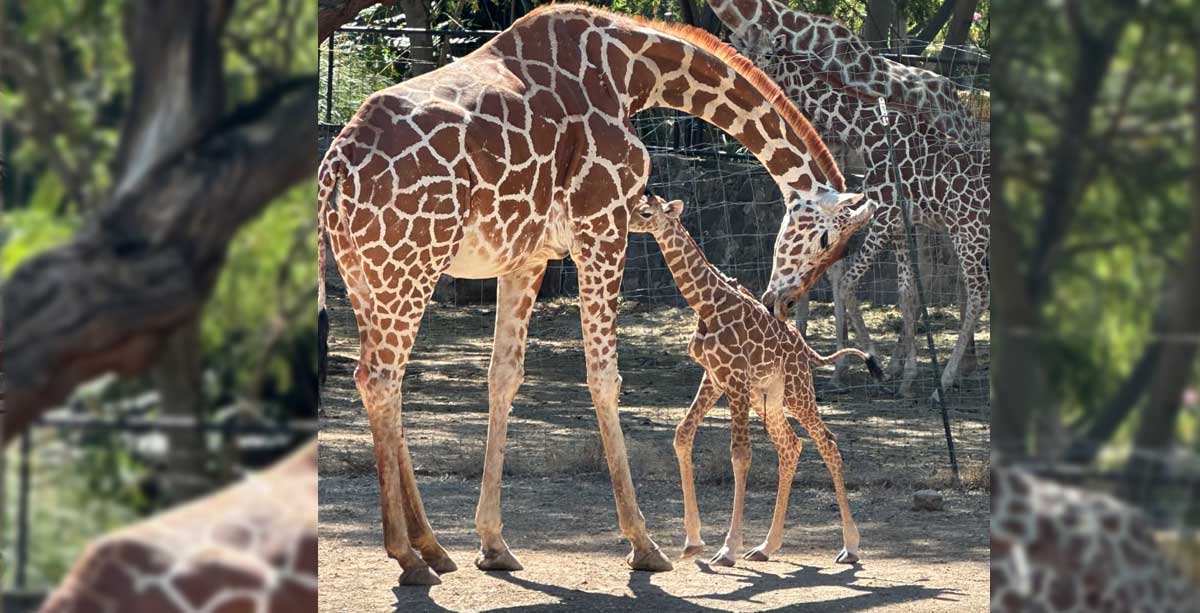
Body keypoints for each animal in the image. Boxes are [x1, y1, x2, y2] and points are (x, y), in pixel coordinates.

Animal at [629, 194, 881, 567]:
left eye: (645, 212)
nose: (624, 222)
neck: (707, 304)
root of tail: (804, 347)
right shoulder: (714, 377)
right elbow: (683, 435)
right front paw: (693, 542)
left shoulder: (734, 379)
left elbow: (740, 455)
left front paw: (727, 549)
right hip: (769, 398)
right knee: (790, 445)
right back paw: (765, 546)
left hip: (797, 390)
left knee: (828, 443)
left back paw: (850, 547)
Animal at [708, 0, 990, 397]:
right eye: (742, 50)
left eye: (767, 54)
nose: (748, 75)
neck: (867, 130)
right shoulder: (892, 215)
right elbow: (902, 289)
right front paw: (898, 372)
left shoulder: (879, 209)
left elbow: (841, 277)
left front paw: (864, 364)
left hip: (965, 230)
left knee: (974, 290)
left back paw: (948, 378)